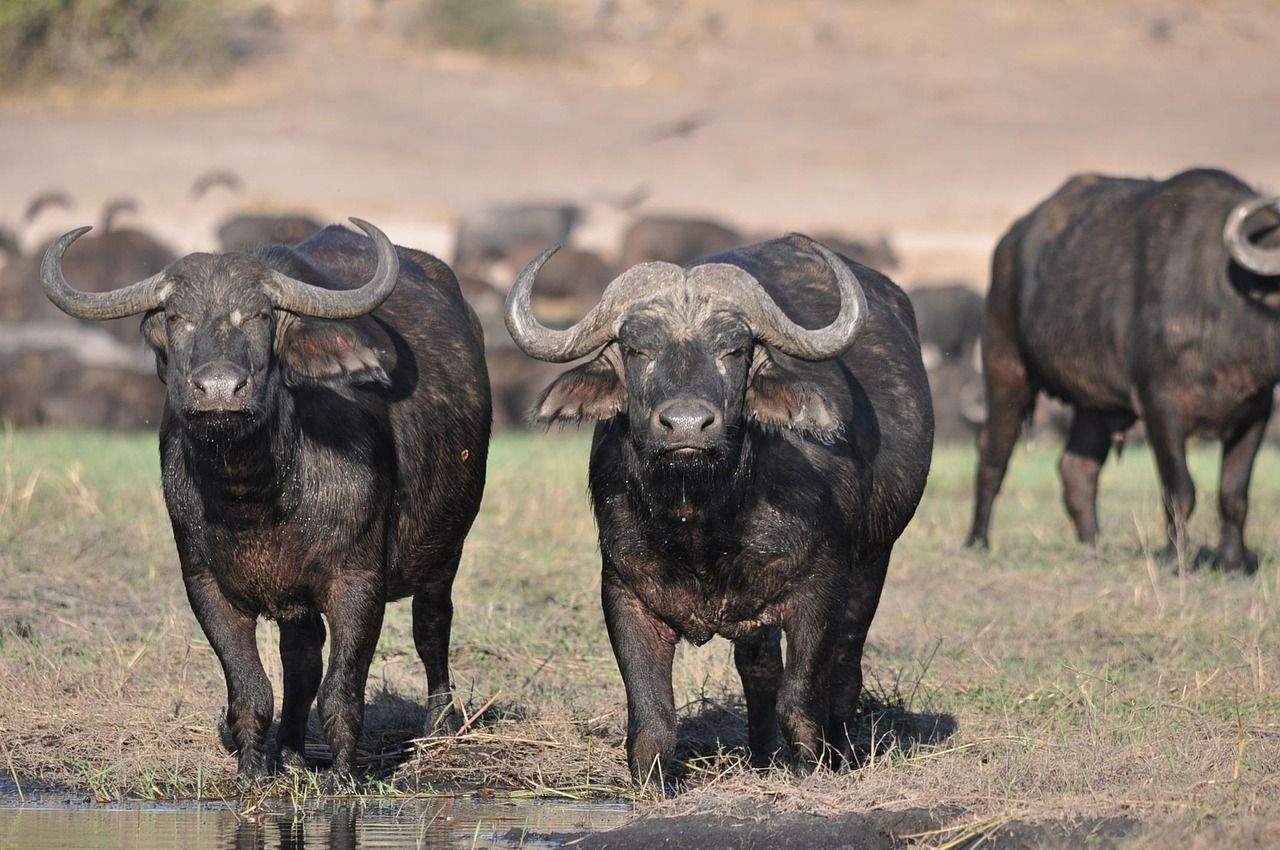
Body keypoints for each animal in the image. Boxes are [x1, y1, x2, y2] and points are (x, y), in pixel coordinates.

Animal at [40, 217, 488, 778]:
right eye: (176, 316)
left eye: (261, 314)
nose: (219, 388)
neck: (255, 496)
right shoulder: (206, 585)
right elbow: (251, 687)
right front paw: (254, 768)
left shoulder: (358, 580)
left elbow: (343, 689)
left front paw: (344, 775)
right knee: (302, 658)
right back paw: (291, 753)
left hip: (448, 546)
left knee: (431, 624)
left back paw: (440, 726)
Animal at [504, 232, 936, 783]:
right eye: (636, 349)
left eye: (733, 350)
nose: (687, 425)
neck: (703, 516)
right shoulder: (623, 591)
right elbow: (652, 716)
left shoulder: (822, 587)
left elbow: (802, 700)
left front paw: (814, 770)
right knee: (760, 670)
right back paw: (762, 758)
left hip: (874, 560)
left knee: (844, 667)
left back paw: (840, 751)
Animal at [967, 167, 1280, 570]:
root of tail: (1009, 241)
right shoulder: (1159, 404)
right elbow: (1179, 489)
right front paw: (1175, 560)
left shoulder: (1256, 408)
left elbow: (1234, 494)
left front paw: (1233, 562)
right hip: (1006, 367)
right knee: (993, 454)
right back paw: (978, 540)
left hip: (1095, 404)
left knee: (1076, 469)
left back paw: (1092, 546)